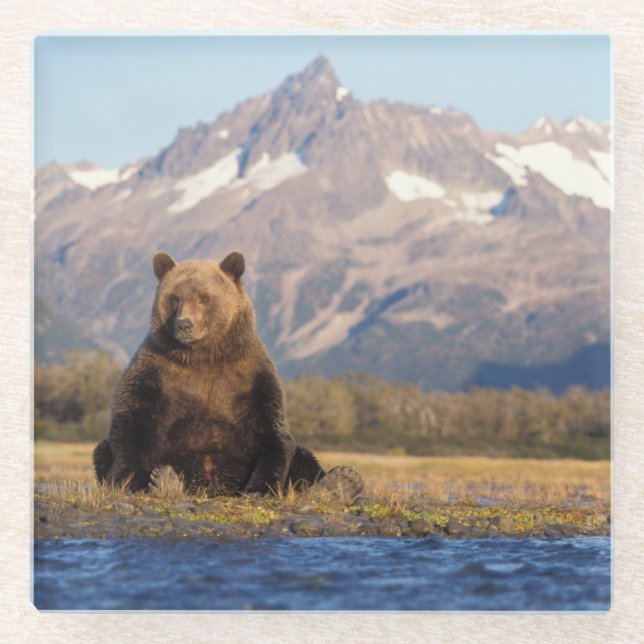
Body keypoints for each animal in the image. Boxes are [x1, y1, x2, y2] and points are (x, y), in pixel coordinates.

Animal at [93, 250, 363, 503]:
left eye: (205, 297)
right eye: (175, 297)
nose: (184, 324)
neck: (203, 357)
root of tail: (214, 489)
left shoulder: (251, 377)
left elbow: (271, 433)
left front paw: (259, 489)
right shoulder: (155, 371)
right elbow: (132, 424)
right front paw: (131, 481)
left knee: (303, 457)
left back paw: (341, 482)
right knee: (103, 450)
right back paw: (166, 481)